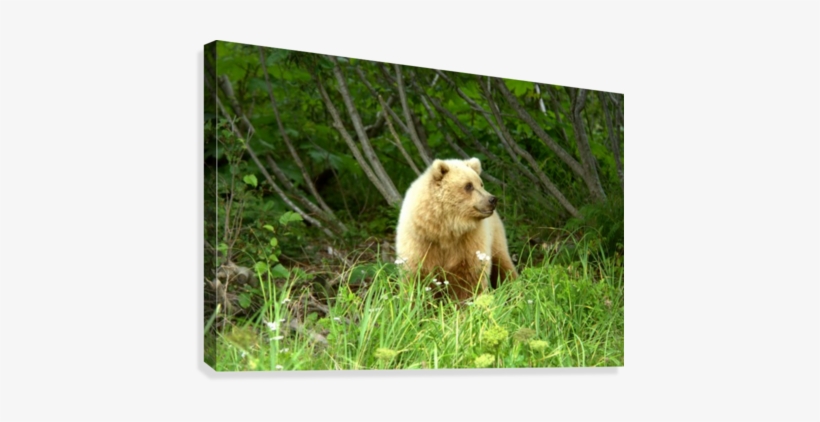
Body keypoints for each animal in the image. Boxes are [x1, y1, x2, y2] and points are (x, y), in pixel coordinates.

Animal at [395, 157, 518, 300]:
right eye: (468, 185)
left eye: (481, 184)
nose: (492, 199)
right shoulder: (422, 241)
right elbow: (418, 277)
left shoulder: (469, 241)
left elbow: (469, 278)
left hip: (496, 238)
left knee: (503, 265)